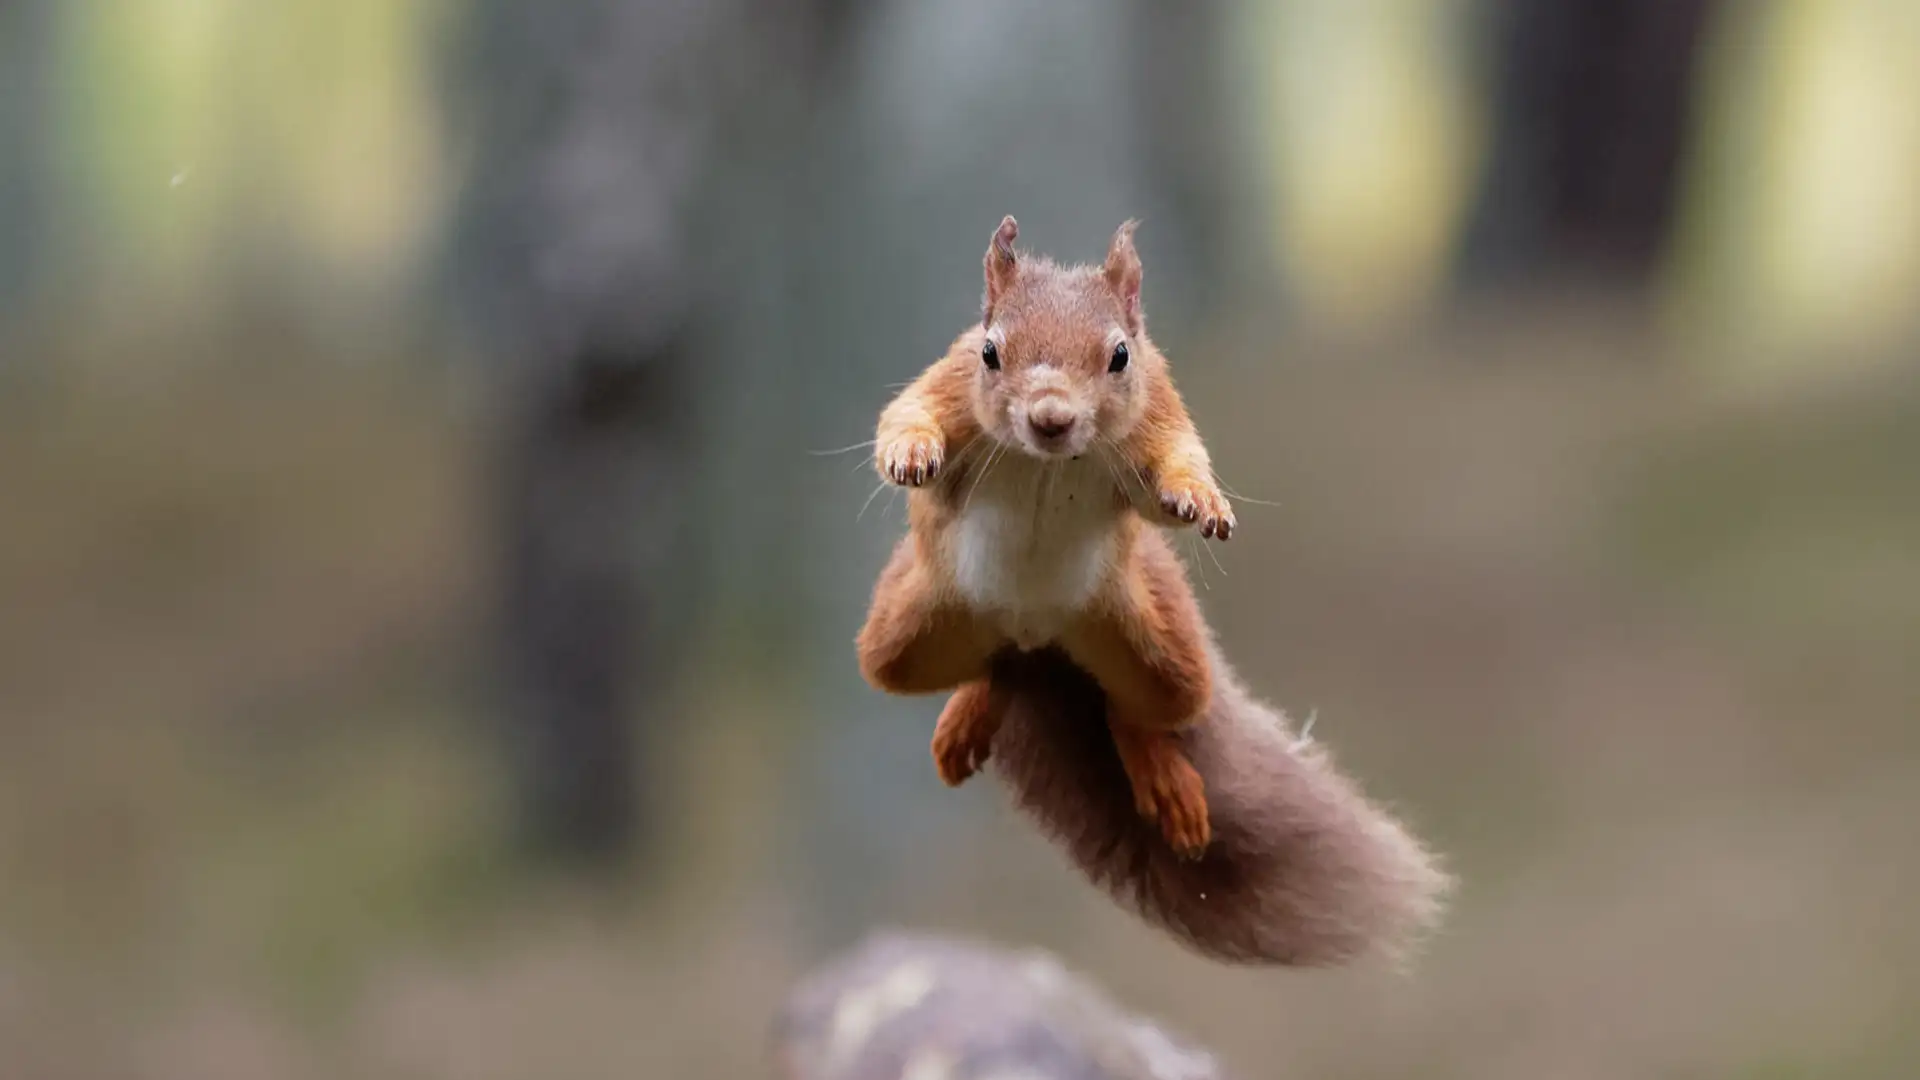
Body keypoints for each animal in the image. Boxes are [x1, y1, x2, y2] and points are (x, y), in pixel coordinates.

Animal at [855, 217, 1450, 965]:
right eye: (990, 352)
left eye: (1120, 356)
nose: (1051, 418)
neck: (1048, 463)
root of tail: (1036, 646)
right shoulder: (950, 384)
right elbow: (905, 413)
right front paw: (909, 453)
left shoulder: (1157, 407)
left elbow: (1180, 459)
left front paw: (1202, 500)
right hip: (905, 635)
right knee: (976, 669)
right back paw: (973, 710)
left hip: (1157, 644)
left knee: (1136, 709)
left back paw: (1163, 778)